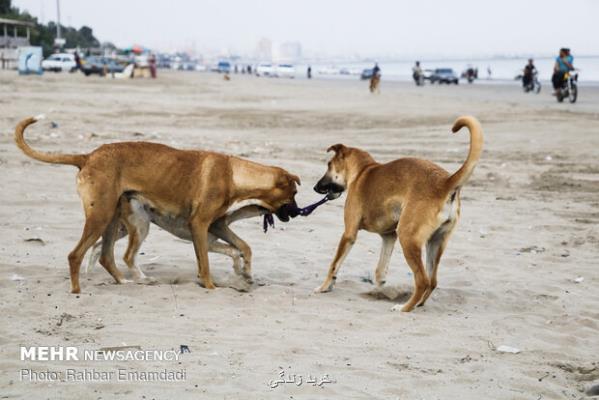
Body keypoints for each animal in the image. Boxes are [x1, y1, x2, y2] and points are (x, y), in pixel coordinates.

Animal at [15, 115, 300, 294]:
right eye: (294, 193)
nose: (298, 213)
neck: (233, 173)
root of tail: (87, 156)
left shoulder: (216, 226)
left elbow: (241, 248)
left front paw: (244, 273)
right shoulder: (200, 226)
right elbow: (207, 262)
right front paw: (210, 285)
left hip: (115, 220)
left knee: (106, 255)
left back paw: (125, 281)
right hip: (107, 217)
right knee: (80, 254)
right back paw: (78, 289)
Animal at [314, 115, 482, 312]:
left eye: (329, 165)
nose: (315, 187)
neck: (363, 169)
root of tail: (445, 183)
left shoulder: (349, 234)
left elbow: (334, 265)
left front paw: (324, 286)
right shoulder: (388, 237)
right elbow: (380, 271)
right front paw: (377, 289)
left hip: (408, 238)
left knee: (423, 281)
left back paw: (404, 307)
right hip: (435, 242)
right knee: (432, 281)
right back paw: (418, 304)